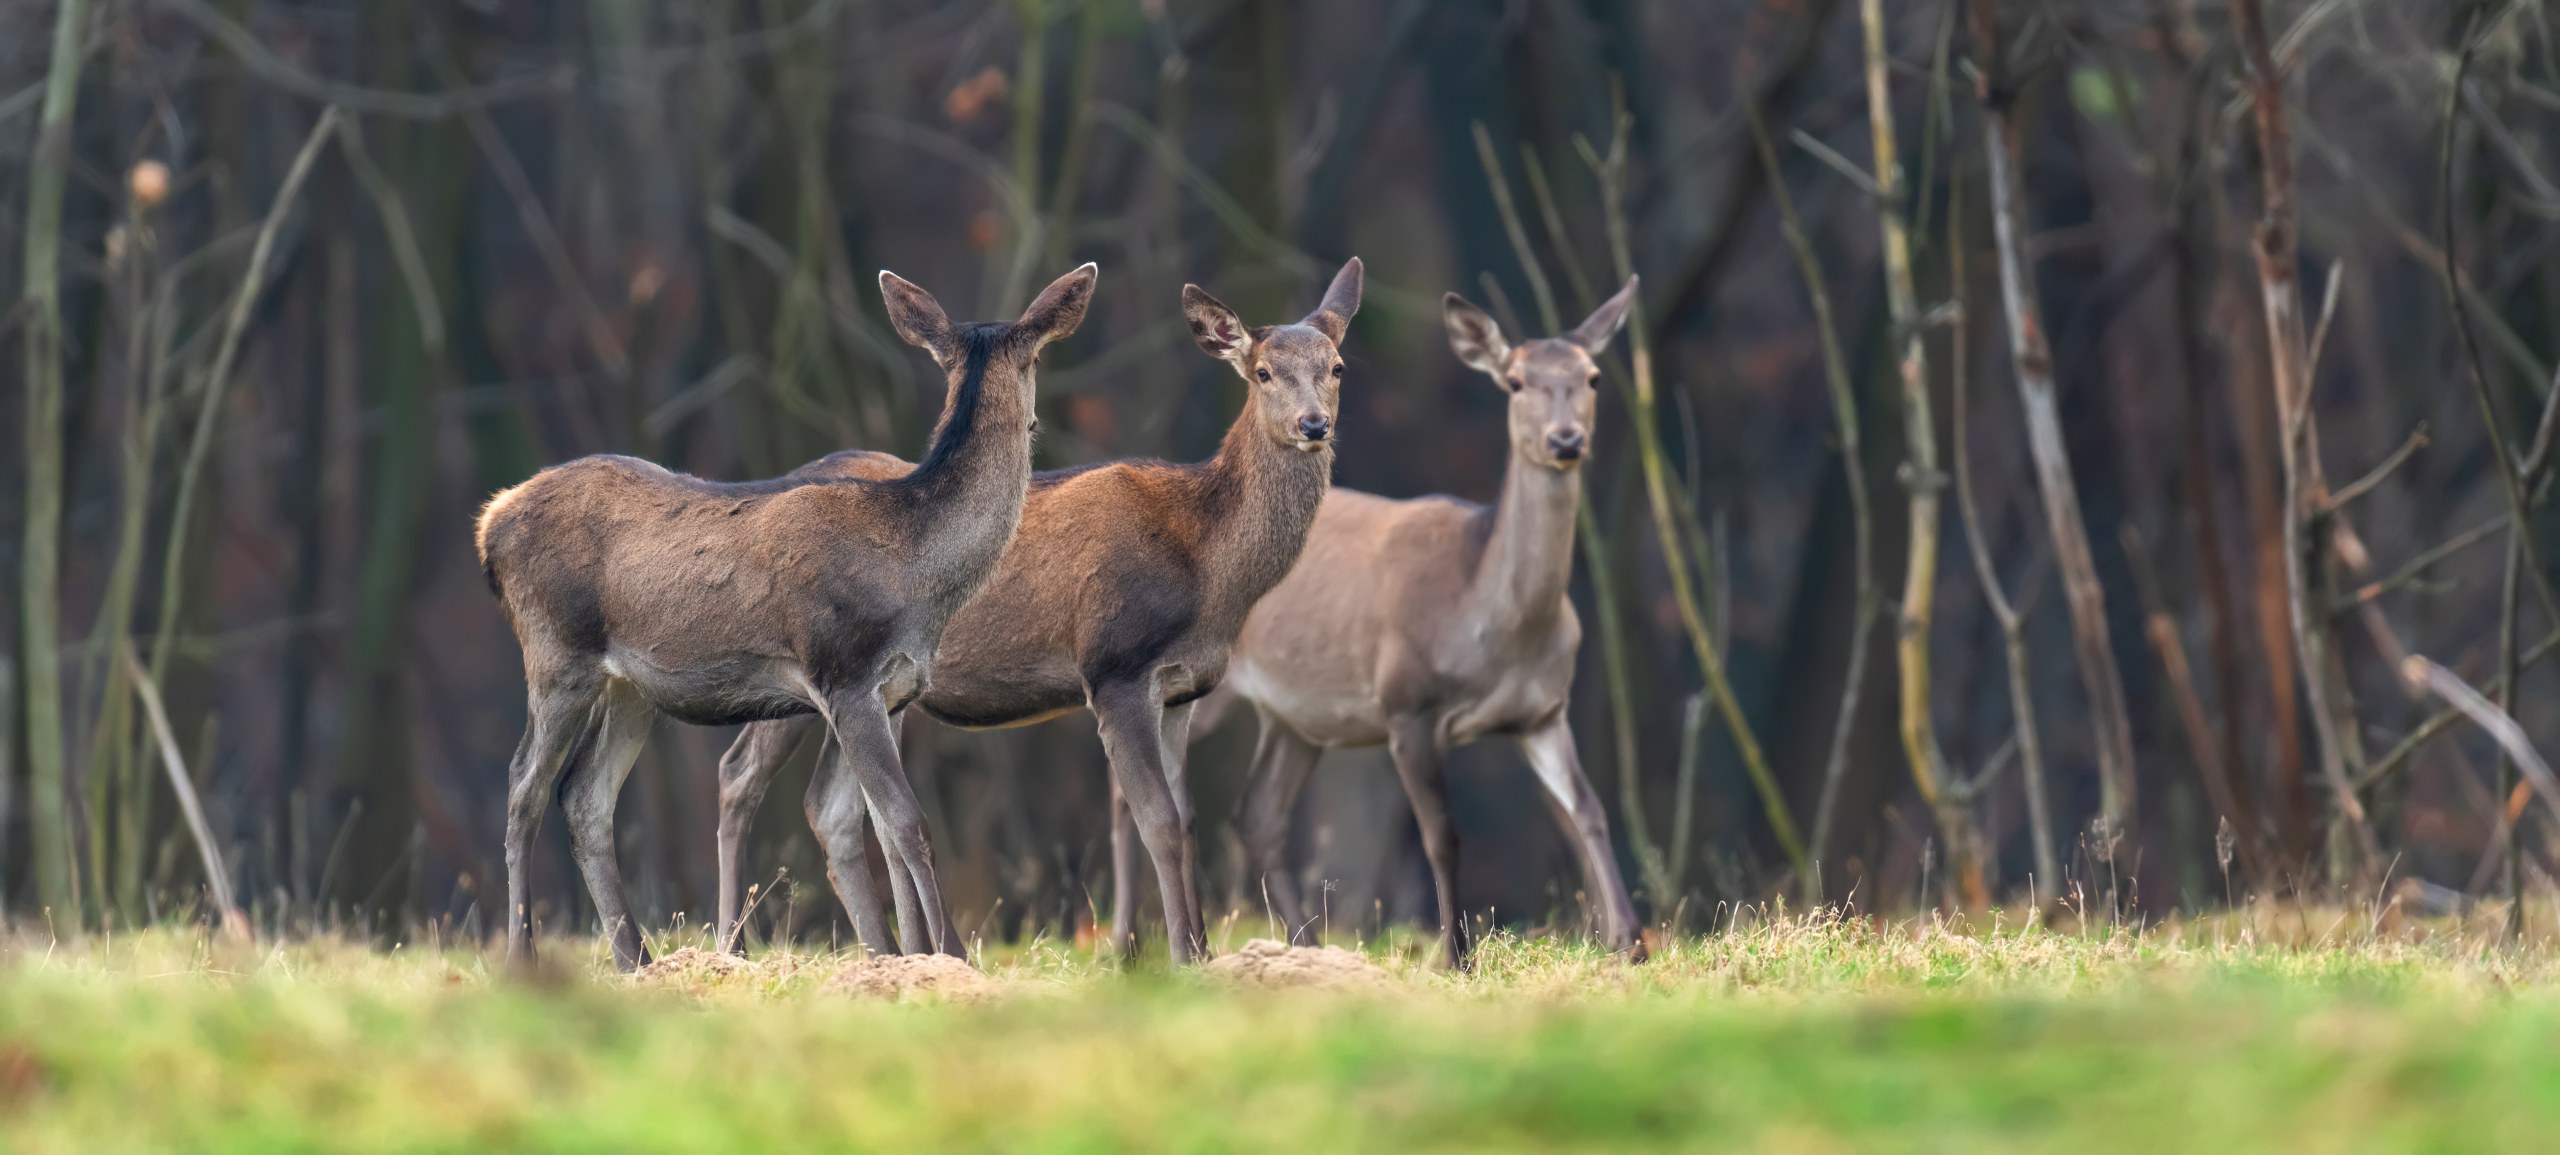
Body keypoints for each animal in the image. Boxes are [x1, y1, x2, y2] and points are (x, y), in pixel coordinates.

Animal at [476, 265, 1095, 978]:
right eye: (1038, 358)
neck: (916, 565)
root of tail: (490, 523)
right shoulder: (845, 674)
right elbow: (908, 821)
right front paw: (953, 957)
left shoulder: (893, 689)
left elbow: (883, 827)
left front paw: (909, 958)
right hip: (557, 652)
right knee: (523, 784)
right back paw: (523, 956)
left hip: (631, 685)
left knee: (583, 794)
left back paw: (641, 961)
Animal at [711, 262, 1372, 968]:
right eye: (1263, 372)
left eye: (1337, 367)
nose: (1313, 426)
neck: (1206, 564)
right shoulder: (1113, 665)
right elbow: (1160, 821)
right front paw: (1180, 958)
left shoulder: (1183, 689)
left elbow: (1189, 819)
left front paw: (1196, 953)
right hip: (803, 660)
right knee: (739, 774)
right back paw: (734, 948)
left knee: (823, 805)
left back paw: (884, 956)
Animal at [1192, 277, 1638, 968]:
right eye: (1514, 381)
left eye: (1591, 377)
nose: (1566, 440)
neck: (1493, 628)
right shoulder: (1405, 703)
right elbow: (1442, 835)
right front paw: (1455, 955)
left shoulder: (1544, 709)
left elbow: (1587, 811)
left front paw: (1628, 943)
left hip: (1298, 715)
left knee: (1256, 814)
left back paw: (1307, 946)